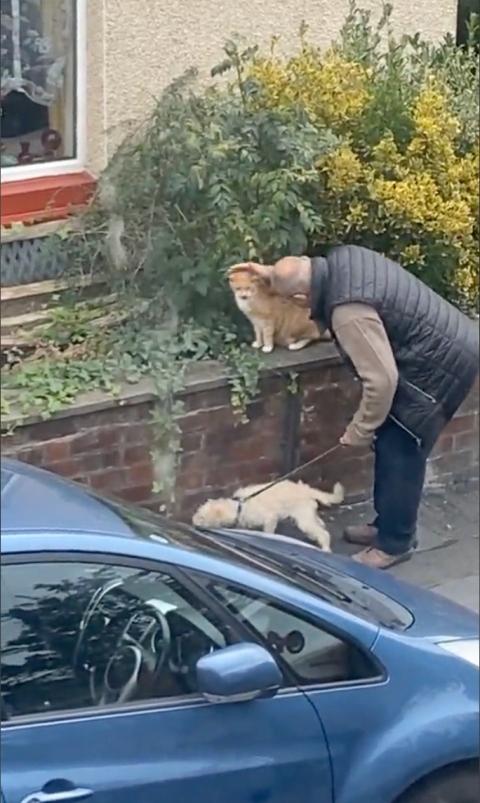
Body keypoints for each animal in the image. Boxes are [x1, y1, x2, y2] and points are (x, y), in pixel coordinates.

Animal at [192, 480, 344, 548]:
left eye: (202, 517)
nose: (193, 521)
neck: (240, 506)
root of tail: (307, 490)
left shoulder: (270, 518)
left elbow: (268, 531)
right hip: (307, 514)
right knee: (319, 524)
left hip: (303, 516)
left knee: (323, 533)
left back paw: (325, 548)